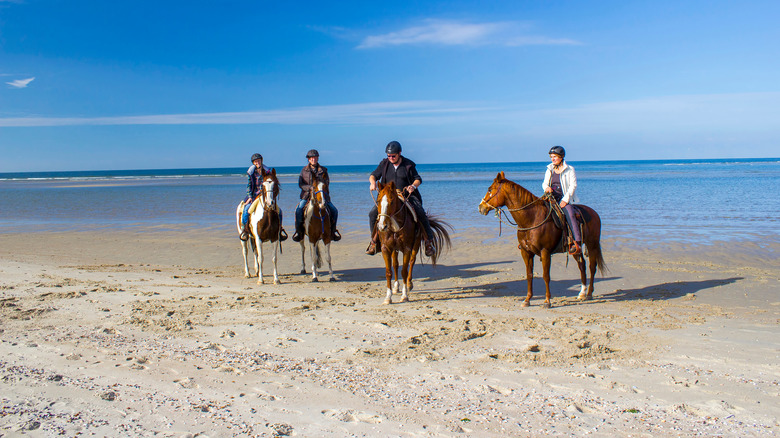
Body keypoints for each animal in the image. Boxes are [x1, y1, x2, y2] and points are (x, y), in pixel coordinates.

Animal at [476, 171, 608, 308]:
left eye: (490, 189)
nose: (481, 207)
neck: (531, 219)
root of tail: (594, 213)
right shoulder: (526, 252)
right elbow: (529, 275)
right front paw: (527, 299)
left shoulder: (545, 252)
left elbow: (546, 276)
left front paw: (547, 301)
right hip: (575, 248)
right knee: (582, 265)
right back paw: (582, 293)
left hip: (592, 244)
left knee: (592, 267)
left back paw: (589, 293)